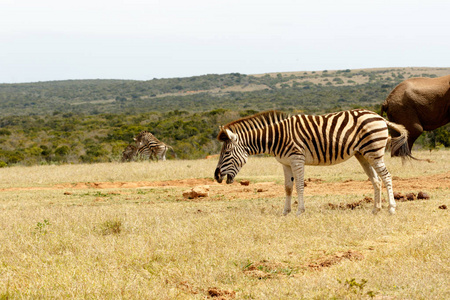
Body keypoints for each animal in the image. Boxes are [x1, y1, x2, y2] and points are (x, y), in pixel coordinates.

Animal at [214, 109, 412, 214]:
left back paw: (391, 208)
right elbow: (287, 187)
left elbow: (300, 185)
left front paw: (299, 211)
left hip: (374, 151)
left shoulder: (296, 159)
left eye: (226, 152)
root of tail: (380, 117)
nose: (216, 176)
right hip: (363, 154)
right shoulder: (285, 163)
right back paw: (375, 210)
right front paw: (285, 212)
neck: (276, 137)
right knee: (376, 180)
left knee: (386, 177)